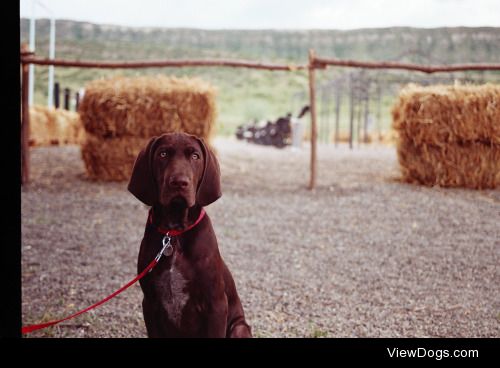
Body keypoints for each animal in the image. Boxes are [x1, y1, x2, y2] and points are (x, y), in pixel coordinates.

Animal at [127, 132, 252, 336]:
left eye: (195, 156)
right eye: (163, 154)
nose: (179, 182)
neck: (175, 232)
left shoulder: (216, 305)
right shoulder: (150, 304)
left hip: (239, 328)